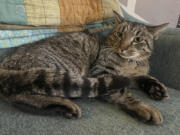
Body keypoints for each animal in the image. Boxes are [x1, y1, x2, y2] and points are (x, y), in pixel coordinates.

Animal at [0, 11, 169, 124]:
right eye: (119, 34)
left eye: (138, 39)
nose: (122, 47)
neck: (130, 63)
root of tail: (4, 62)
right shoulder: (103, 73)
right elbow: (124, 94)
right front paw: (144, 108)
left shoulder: (131, 75)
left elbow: (144, 77)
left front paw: (156, 88)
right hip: (58, 70)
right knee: (23, 94)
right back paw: (65, 105)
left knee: (18, 97)